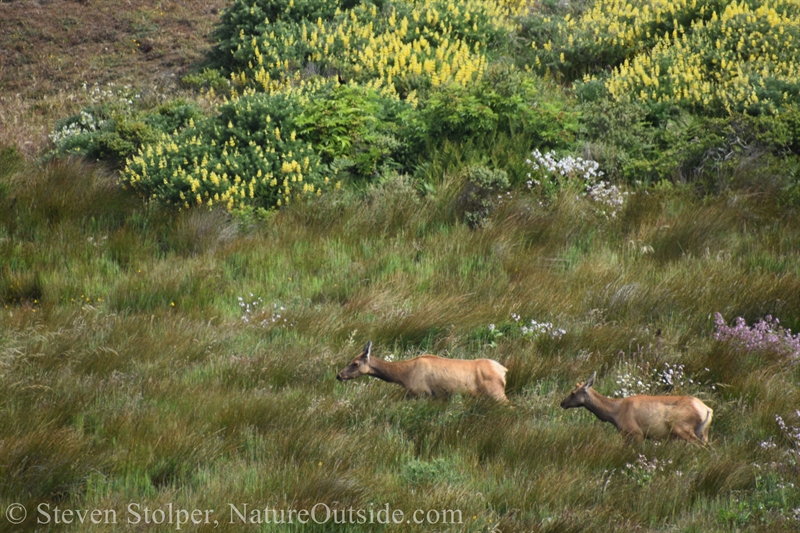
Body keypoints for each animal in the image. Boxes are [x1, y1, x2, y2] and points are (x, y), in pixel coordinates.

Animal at [336, 340, 506, 400]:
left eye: (355, 363)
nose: (338, 375)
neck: (404, 376)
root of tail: (504, 370)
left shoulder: (422, 392)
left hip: (496, 392)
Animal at [560, 372, 716, 442]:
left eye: (573, 393)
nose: (562, 403)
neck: (615, 413)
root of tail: (707, 409)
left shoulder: (635, 432)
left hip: (681, 426)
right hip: (703, 433)